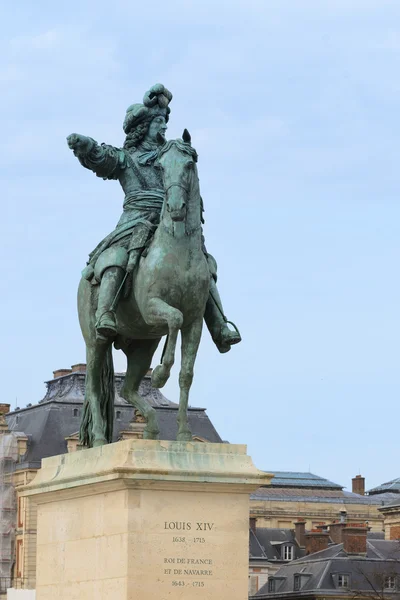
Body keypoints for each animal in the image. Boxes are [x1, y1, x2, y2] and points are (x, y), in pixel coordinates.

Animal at [76, 132, 211, 450]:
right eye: (160, 167)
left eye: (189, 164)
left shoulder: (195, 322)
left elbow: (186, 374)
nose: (175, 208)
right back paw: (99, 439)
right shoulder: (152, 308)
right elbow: (173, 318)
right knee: (94, 387)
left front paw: (184, 434)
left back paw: (149, 427)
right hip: (95, 342)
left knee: (127, 388)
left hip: (143, 344)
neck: (178, 251)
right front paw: (161, 374)